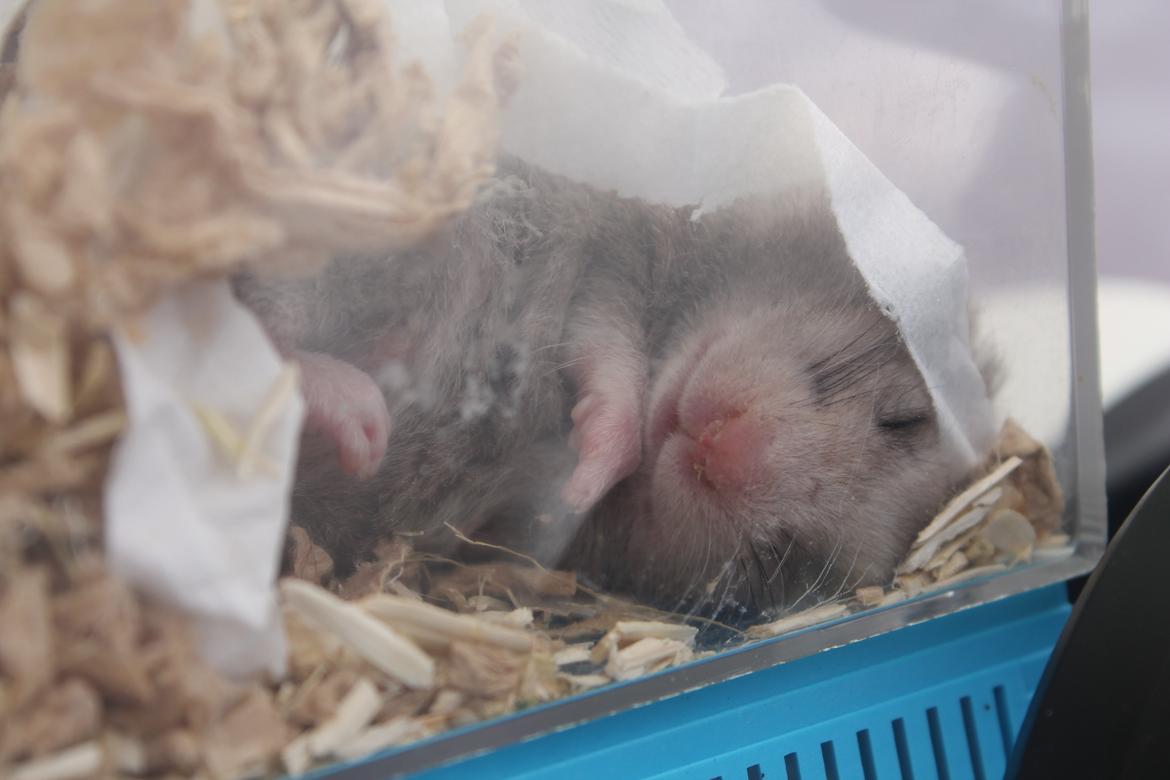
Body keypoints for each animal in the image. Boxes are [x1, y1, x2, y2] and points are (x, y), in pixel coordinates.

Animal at [236, 157, 991, 619]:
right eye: (905, 417)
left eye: (788, 560)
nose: (718, 449)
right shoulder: (611, 252)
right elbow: (608, 351)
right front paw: (588, 473)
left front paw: (576, 483)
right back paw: (357, 408)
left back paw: (352, 418)